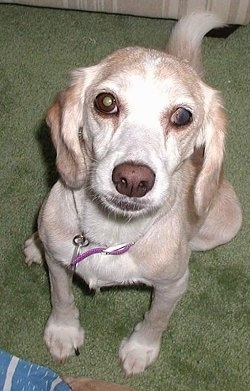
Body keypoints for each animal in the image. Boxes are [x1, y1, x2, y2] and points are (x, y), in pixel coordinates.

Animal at [23, 13, 242, 376]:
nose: (132, 180)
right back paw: (34, 245)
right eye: (106, 102)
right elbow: (62, 297)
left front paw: (141, 349)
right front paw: (63, 331)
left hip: (225, 225)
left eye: (182, 116)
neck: (111, 231)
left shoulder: (172, 287)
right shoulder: (58, 265)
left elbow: (156, 320)